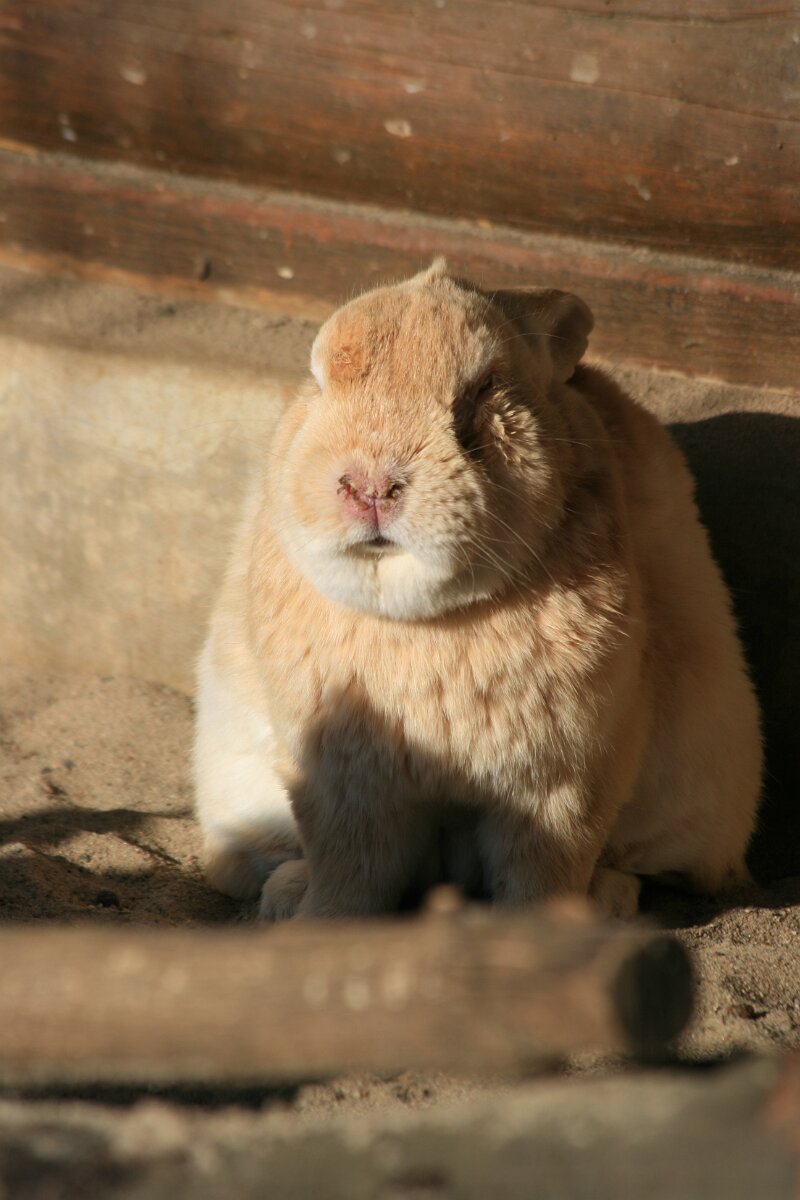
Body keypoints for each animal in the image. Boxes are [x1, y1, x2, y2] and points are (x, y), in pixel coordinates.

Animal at [193, 259, 762, 921]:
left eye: (485, 388)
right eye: (317, 379)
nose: (370, 485)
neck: (421, 620)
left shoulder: (561, 786)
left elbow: (543, 872)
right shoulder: (346, 789)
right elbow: (350, 877)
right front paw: (320, 925)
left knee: (639, 865)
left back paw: (608, 901)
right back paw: (286, 895)